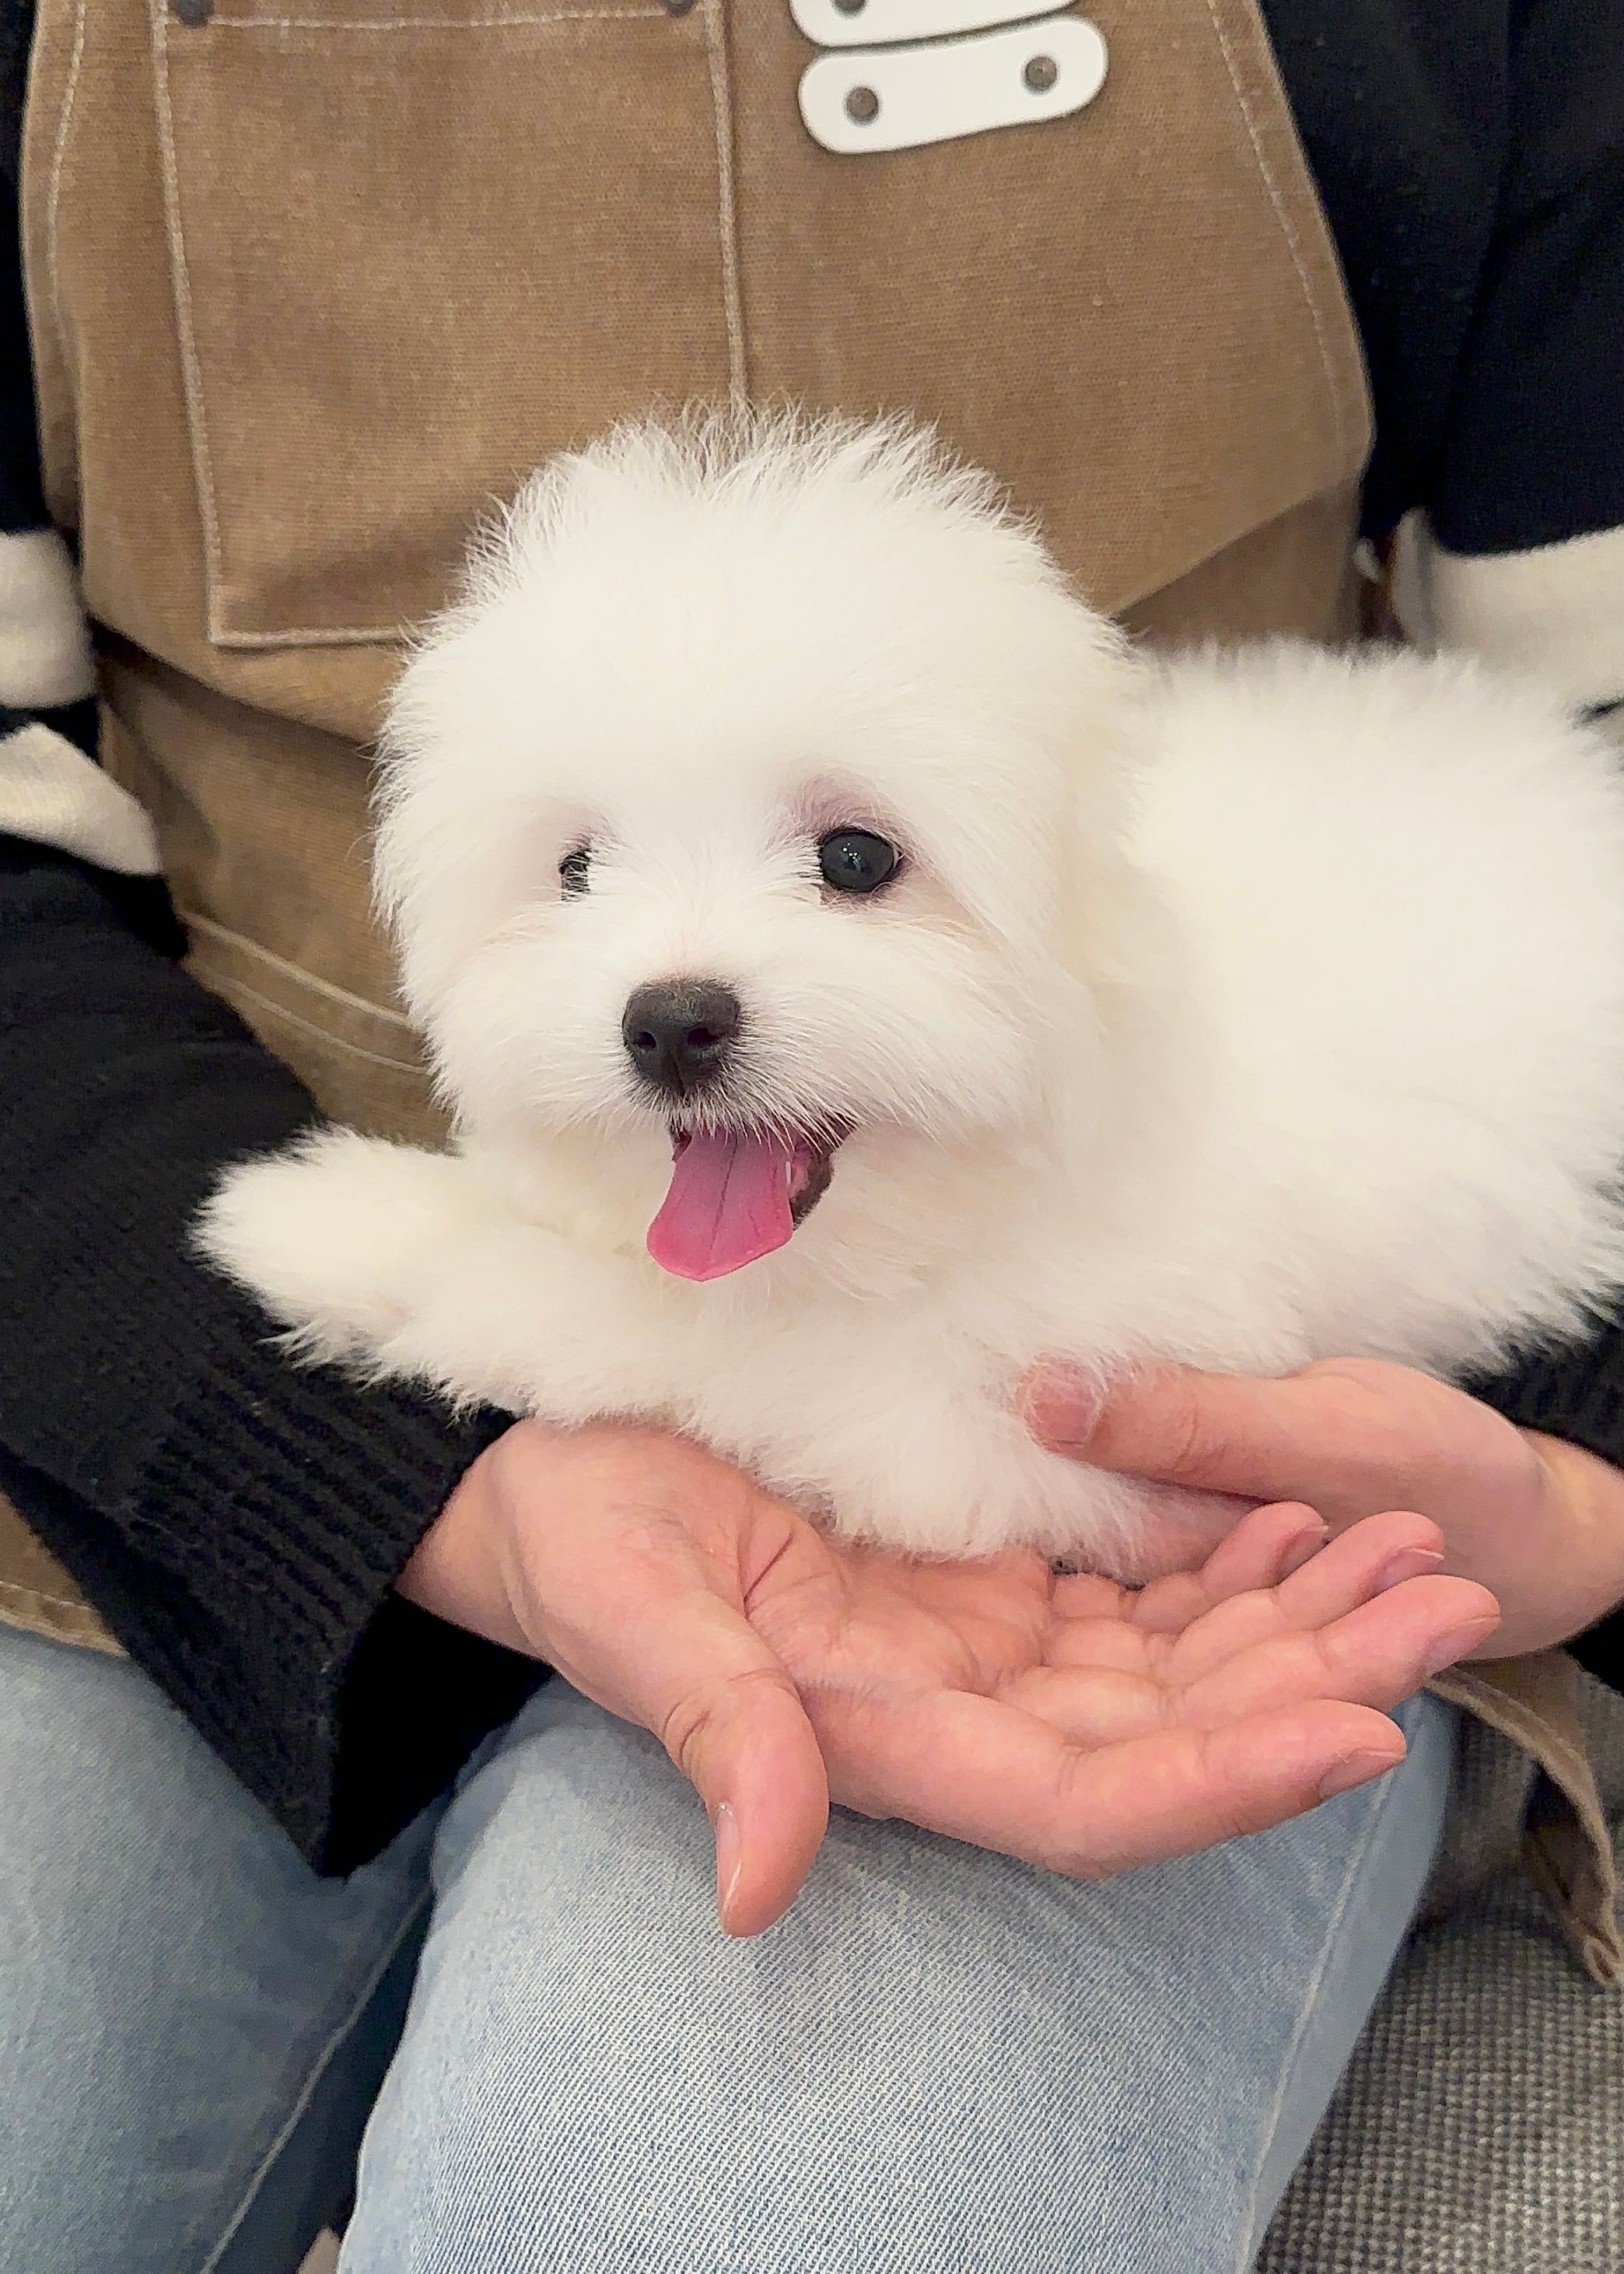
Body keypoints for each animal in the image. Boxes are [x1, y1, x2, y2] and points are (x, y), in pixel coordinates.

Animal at [195, 413, 1619, 1582]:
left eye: (855, 859)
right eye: (576, 870)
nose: (668, 1021)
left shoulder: (993, 1402)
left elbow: (696, 1334)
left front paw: (388, 1249)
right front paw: (348, 1216)